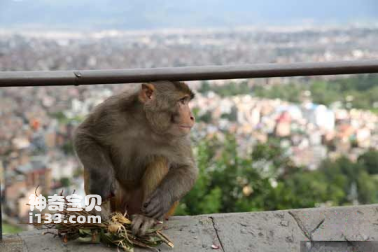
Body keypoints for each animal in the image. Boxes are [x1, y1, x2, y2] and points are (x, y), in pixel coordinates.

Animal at [73, 80, 198, 236]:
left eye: (186, 101)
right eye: (182, 101)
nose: (192, 117)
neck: (145, 122)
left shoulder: (178, 134)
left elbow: (188, 168)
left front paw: (162, 199)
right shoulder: (110, 110)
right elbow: (85, 135)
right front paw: (103, 180)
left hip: (157, 209)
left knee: (161, 160)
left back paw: (146, 218)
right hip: (120, 204)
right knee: (92, 165)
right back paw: (100, 209)